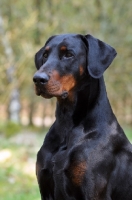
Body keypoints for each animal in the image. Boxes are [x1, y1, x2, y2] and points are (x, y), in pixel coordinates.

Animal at [32, 33, 132, 199]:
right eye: (45, 55)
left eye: (69, 54)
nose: (38, 79)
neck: (67, 125)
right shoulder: (45, 188)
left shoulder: (92, 191)